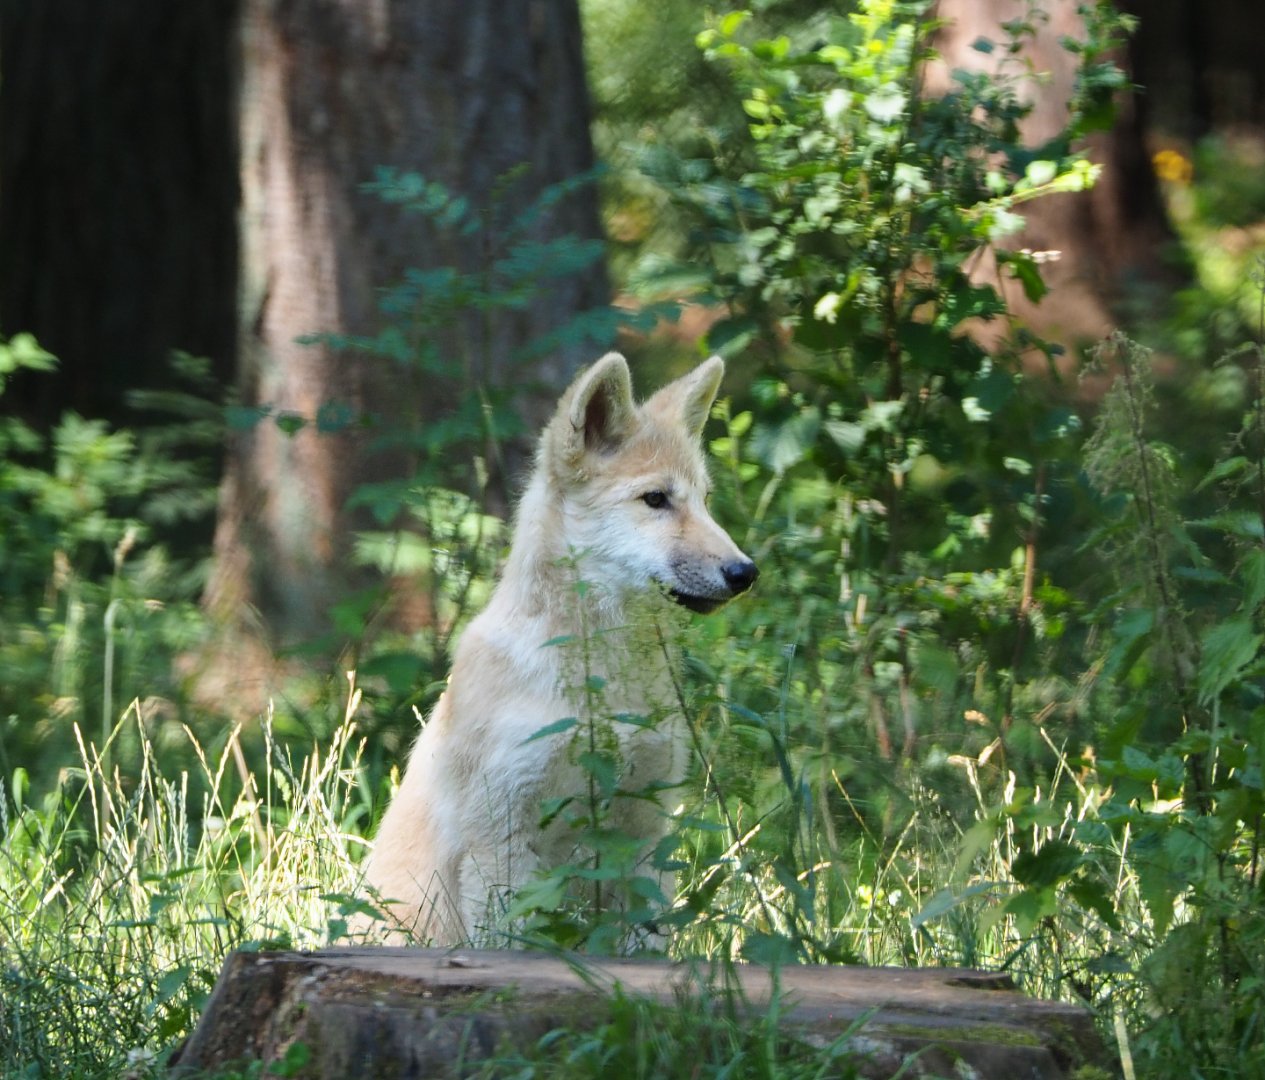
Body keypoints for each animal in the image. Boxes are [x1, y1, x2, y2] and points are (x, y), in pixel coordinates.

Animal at [361, 352, 757, 944]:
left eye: (706, 502)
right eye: (656, 500)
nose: (746, 573)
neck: (600, 685)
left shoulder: (645, 826)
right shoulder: (503, 836)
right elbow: (512, 936)